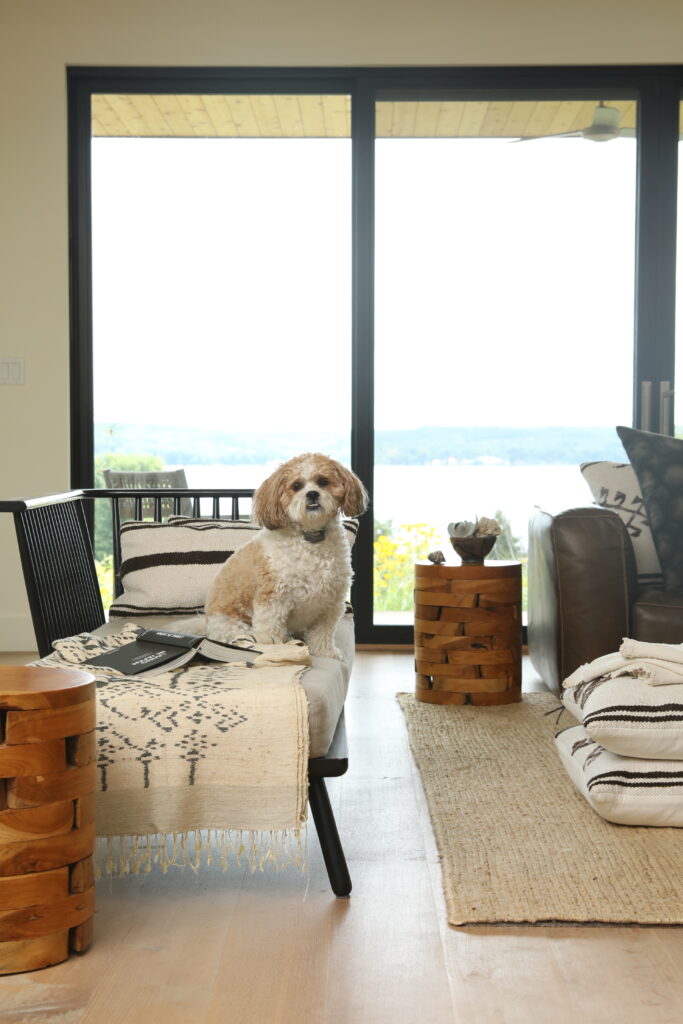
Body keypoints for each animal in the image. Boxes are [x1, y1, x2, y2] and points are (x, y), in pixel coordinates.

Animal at [204, 454, 368, 659]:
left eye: (323, 482)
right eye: (296, 486)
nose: (312, 494)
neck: (310, 537)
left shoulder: (330, 603)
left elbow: (322, 633)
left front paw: (325, 652)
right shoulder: (273, 600)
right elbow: (270, 631)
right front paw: (277, 651)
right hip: (234, 626)